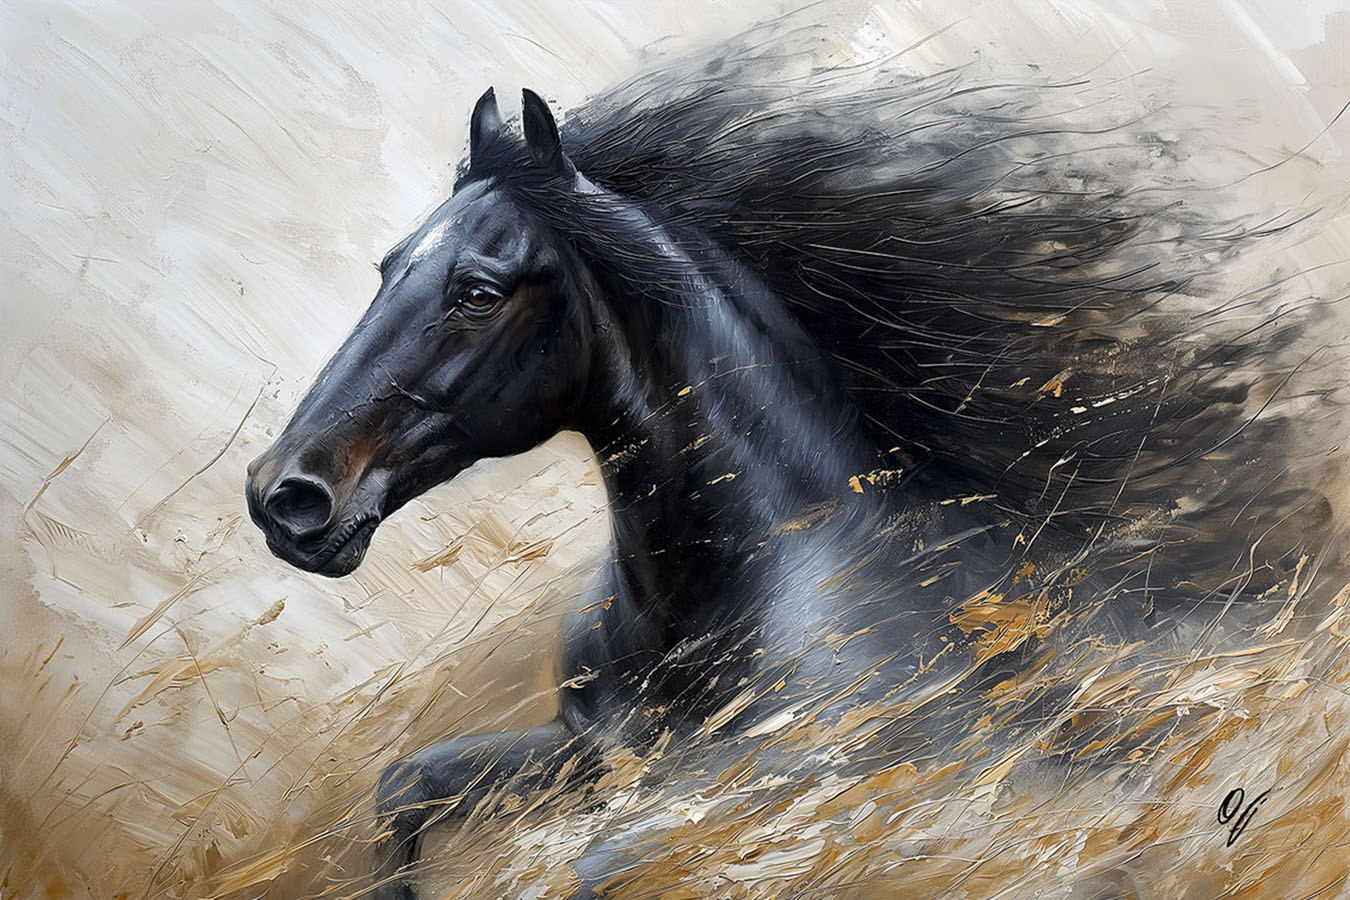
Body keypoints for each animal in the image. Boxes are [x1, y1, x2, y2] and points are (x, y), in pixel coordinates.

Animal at [246, 44, 1341, 898]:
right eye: (388, 268)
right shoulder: (587, 757)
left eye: (477, 291)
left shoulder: (788, 808)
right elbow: (404, 788)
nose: (284, 497)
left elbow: (588, 872)